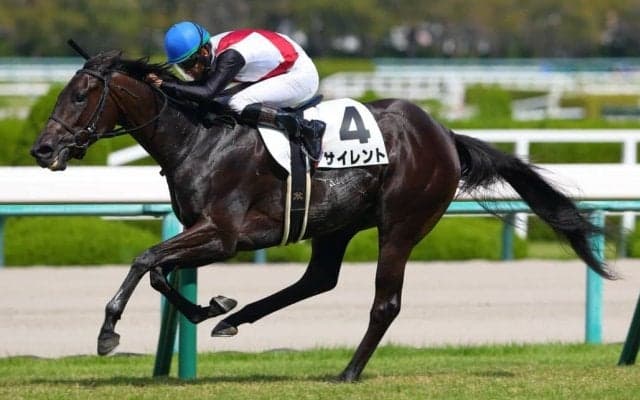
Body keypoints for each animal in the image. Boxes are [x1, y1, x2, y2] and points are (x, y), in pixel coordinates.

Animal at [30, 51, 614, 382]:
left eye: (80, 94)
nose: (42, 149)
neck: (200, 136)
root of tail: (445, 133)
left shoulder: (224, 234)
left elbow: (144, 258)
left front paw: (108, 332)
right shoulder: (209, 233)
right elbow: (157, 270)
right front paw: (210, 305)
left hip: (401, 224)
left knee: (385, 303)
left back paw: (349, 371)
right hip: (336, 223)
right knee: (318, 279)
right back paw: (234, 319)